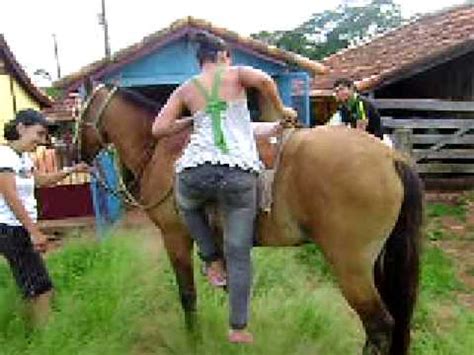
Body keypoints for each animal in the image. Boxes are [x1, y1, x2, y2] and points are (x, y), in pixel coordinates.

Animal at [77, 85, 422, 354]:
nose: (76, 152)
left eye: (78, 116)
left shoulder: (175, 236)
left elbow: (187, 295)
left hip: (351, 268)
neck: (163, 151)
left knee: (379, 326)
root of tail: (391, 157)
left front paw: (194, 340)